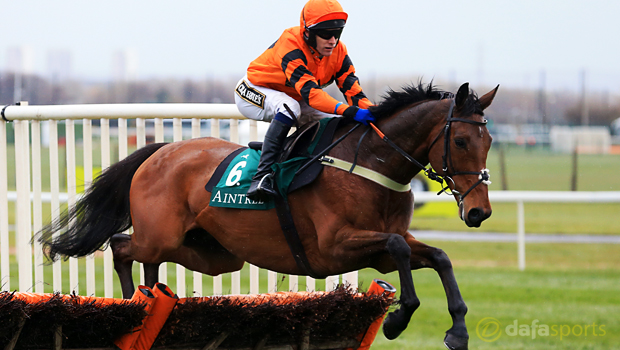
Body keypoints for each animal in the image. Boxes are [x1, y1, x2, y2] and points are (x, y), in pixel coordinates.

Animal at [37, 82, 498, 350]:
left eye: (489, 141)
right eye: (460, 140)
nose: (479, 211)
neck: (370, 163)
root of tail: (161, 150)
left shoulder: (376, 251)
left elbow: (437, 256)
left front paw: (457, 329)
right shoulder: (334, 247)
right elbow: (400, 246)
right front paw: (400, 318)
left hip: (215, 254)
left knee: (150, 261)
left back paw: (151, 302)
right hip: (161, 235)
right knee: (121, 246)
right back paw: (137, 307)